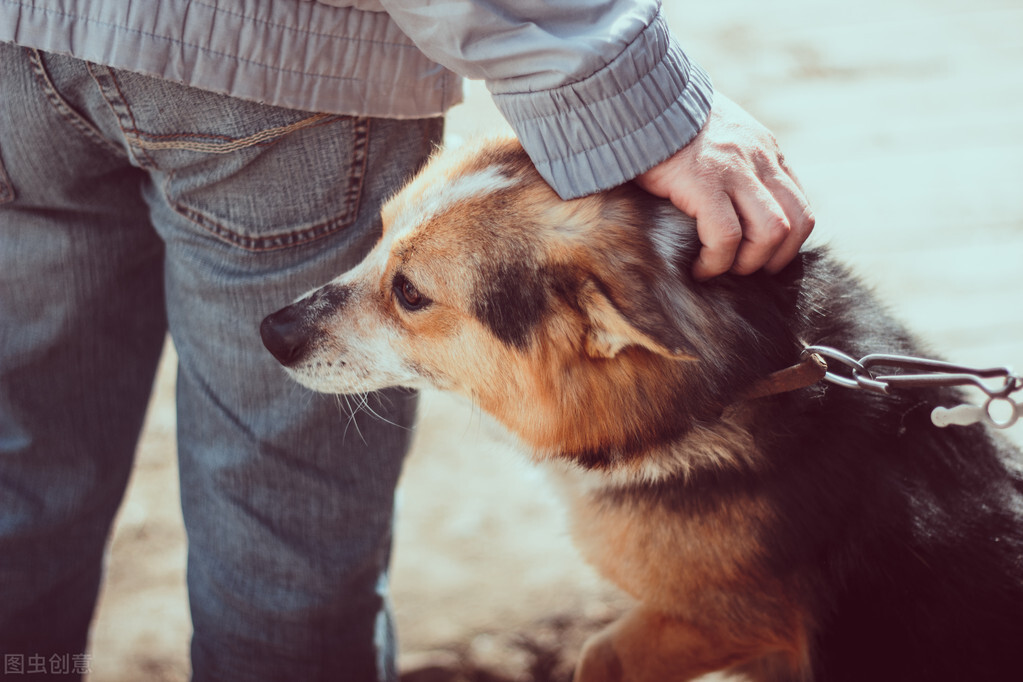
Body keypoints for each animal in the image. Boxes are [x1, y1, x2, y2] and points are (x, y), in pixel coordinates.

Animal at [257, 140, 1023, 682]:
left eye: (410, 293)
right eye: (379, 233)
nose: (269, 332)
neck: (738, 384)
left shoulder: (730, 619)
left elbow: (600, 653)